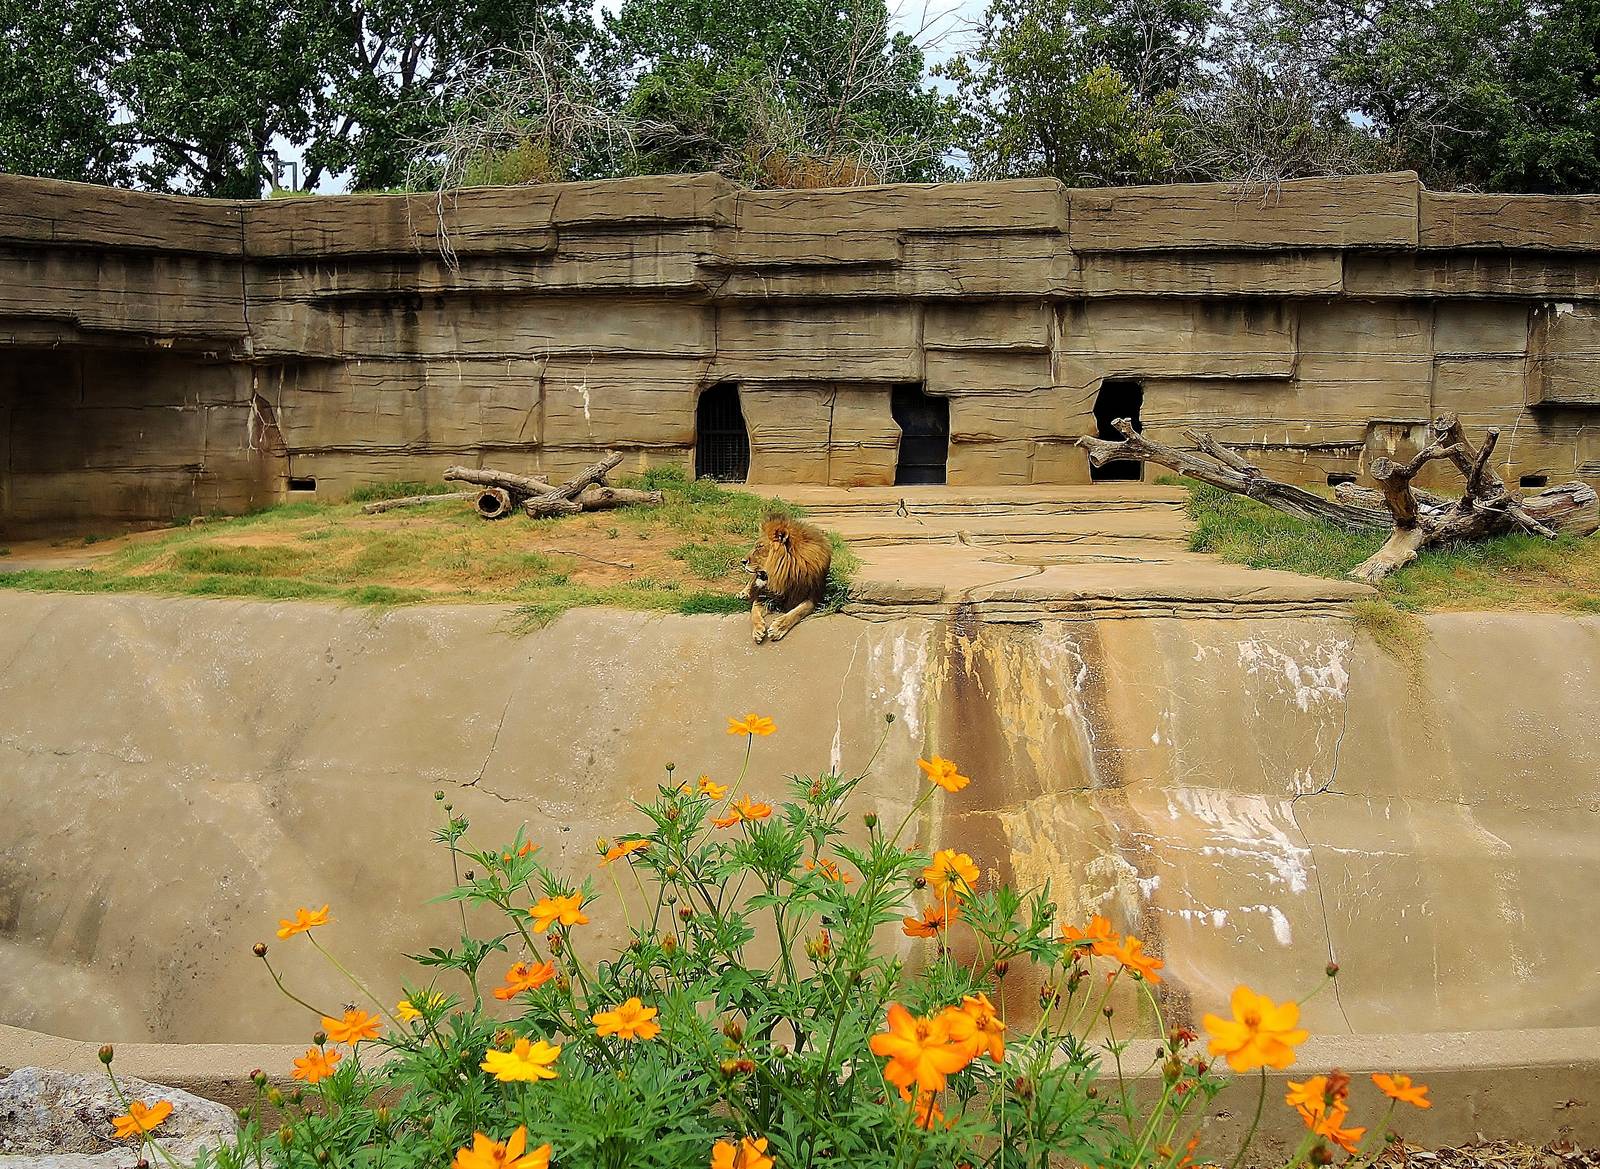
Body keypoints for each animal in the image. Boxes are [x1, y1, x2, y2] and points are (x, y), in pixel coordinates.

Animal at [743, 513, 832, 644]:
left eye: (759, 547)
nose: (742, 561)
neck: (784, 576)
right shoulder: (765, 594)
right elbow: (753, 611)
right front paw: (757, 630)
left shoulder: (811, 596)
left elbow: (797, 612)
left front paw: (777, 628)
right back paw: (743, 593)